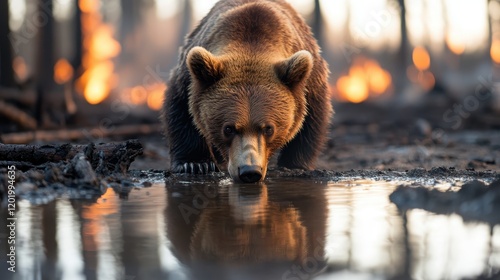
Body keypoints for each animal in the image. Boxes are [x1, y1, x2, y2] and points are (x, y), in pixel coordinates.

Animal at [161, 0, 332, 183]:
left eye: (268, 128)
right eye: (228, 128)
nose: (249, 171)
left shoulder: (309, 82)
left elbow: (311, 120)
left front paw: (295, 164)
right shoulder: (189, 78)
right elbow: (181, 110)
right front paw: (196, 164)